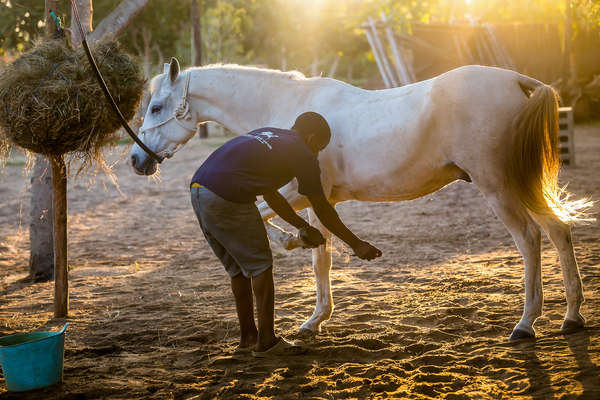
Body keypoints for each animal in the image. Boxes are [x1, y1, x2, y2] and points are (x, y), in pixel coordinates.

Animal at [130, 58, 592, 340]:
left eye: (157, 107)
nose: (137, 159)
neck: (289, 109)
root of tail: (519, 81)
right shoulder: (318, 200)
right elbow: (321, 258)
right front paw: (314, 320)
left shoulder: (295, 192)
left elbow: (269, 220)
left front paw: (293, 242)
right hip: (521, 184)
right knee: (558, 231)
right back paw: (571, 318)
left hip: (499, 188)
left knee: (530, 239)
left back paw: (526, 324)